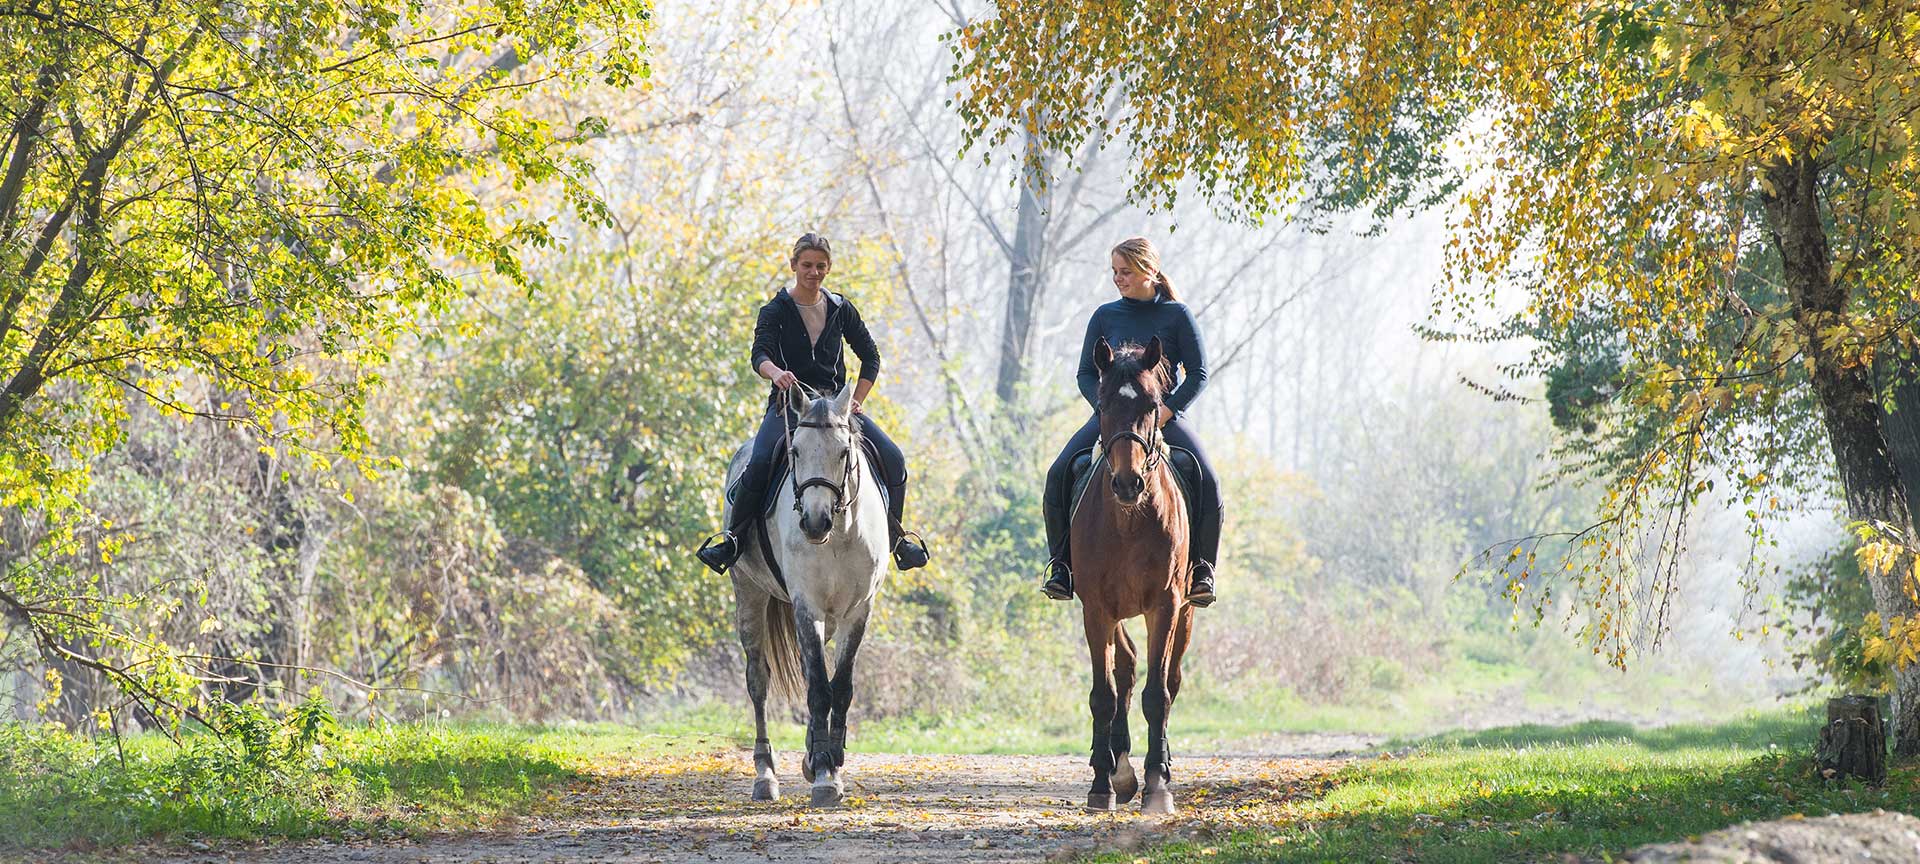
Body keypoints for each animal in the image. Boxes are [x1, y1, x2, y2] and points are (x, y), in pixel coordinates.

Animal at [723, 382, 890, 807]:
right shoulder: (806, 604)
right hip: (748, 592)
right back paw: (765, 775)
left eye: (844, 452)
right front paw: (825, 777)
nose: (815, 522)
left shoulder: (857, 611)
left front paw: (829, 762)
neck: (841, 534)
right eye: (795, 450)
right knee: (758, 680)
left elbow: (839, 687)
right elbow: (818, 689)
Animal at [1072, 336, 1196, 815]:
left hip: (1185, 613)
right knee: (1123, 670)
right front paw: (1102, 785)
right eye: (1102, 403)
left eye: (1152, 404)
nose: (1128, 484)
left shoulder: (1165, 605)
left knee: (1169, 681)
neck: (1128, 520)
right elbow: (1103, 695)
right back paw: (1116, 768)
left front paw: (1158, 787)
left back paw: (1155, 764)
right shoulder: (1096, 609)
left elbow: (1157, 695)